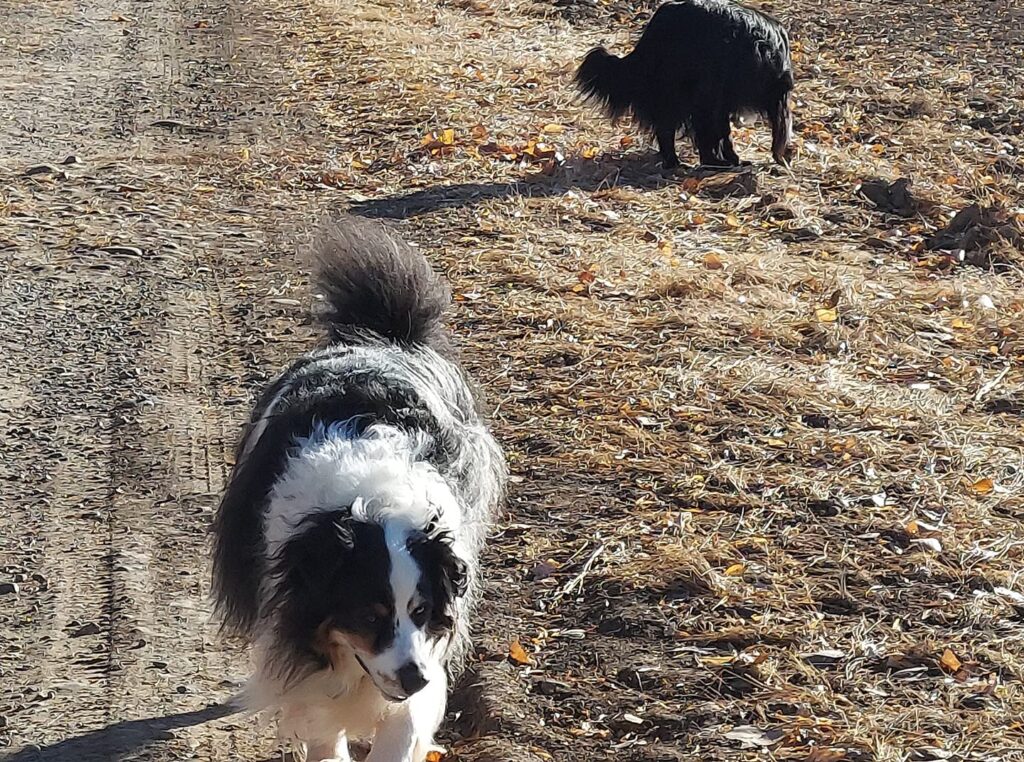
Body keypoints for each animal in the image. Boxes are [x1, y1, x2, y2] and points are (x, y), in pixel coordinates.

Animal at [212, 216, 507, 762]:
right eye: (369, 617)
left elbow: (405, 724)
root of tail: (381, 336)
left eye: (421, 611)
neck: (370, 505)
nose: (413, 679)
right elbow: (321, 718)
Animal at [573, 0, 794, 167]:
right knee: (673, 127)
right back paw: (690, 162)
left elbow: (721, 131)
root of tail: (665, 17)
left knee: (671, 127)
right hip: (685, 91)